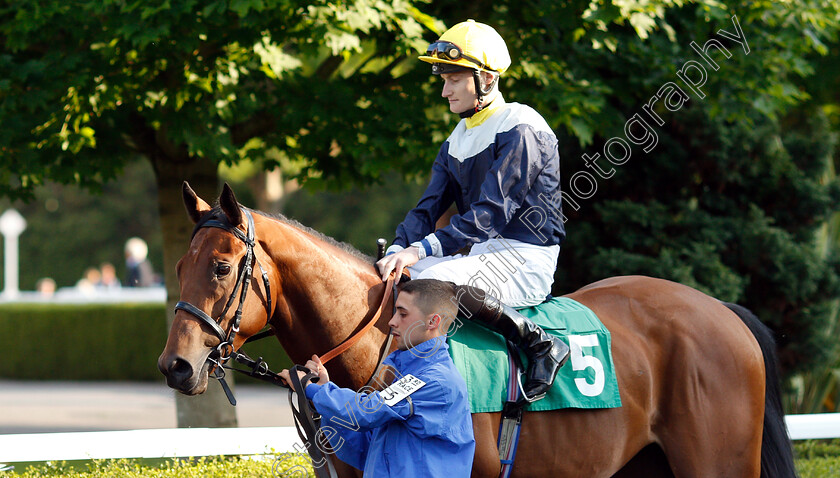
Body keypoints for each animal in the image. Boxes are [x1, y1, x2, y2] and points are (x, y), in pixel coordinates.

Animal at [156, 181, 796, 476]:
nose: (175, 366)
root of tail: (722, 311)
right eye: (180, 266)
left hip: (717, 463)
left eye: (220, 267)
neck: (377, 351)